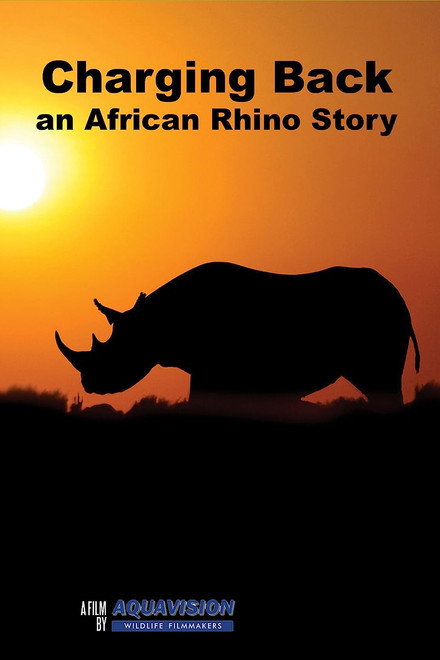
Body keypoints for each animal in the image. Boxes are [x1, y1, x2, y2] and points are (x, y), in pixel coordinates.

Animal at [55, 262, 420, 408]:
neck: (155, 323)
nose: (89, 384)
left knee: (381, 383)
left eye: (117, 354)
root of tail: (400, 298)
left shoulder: (210, 369)